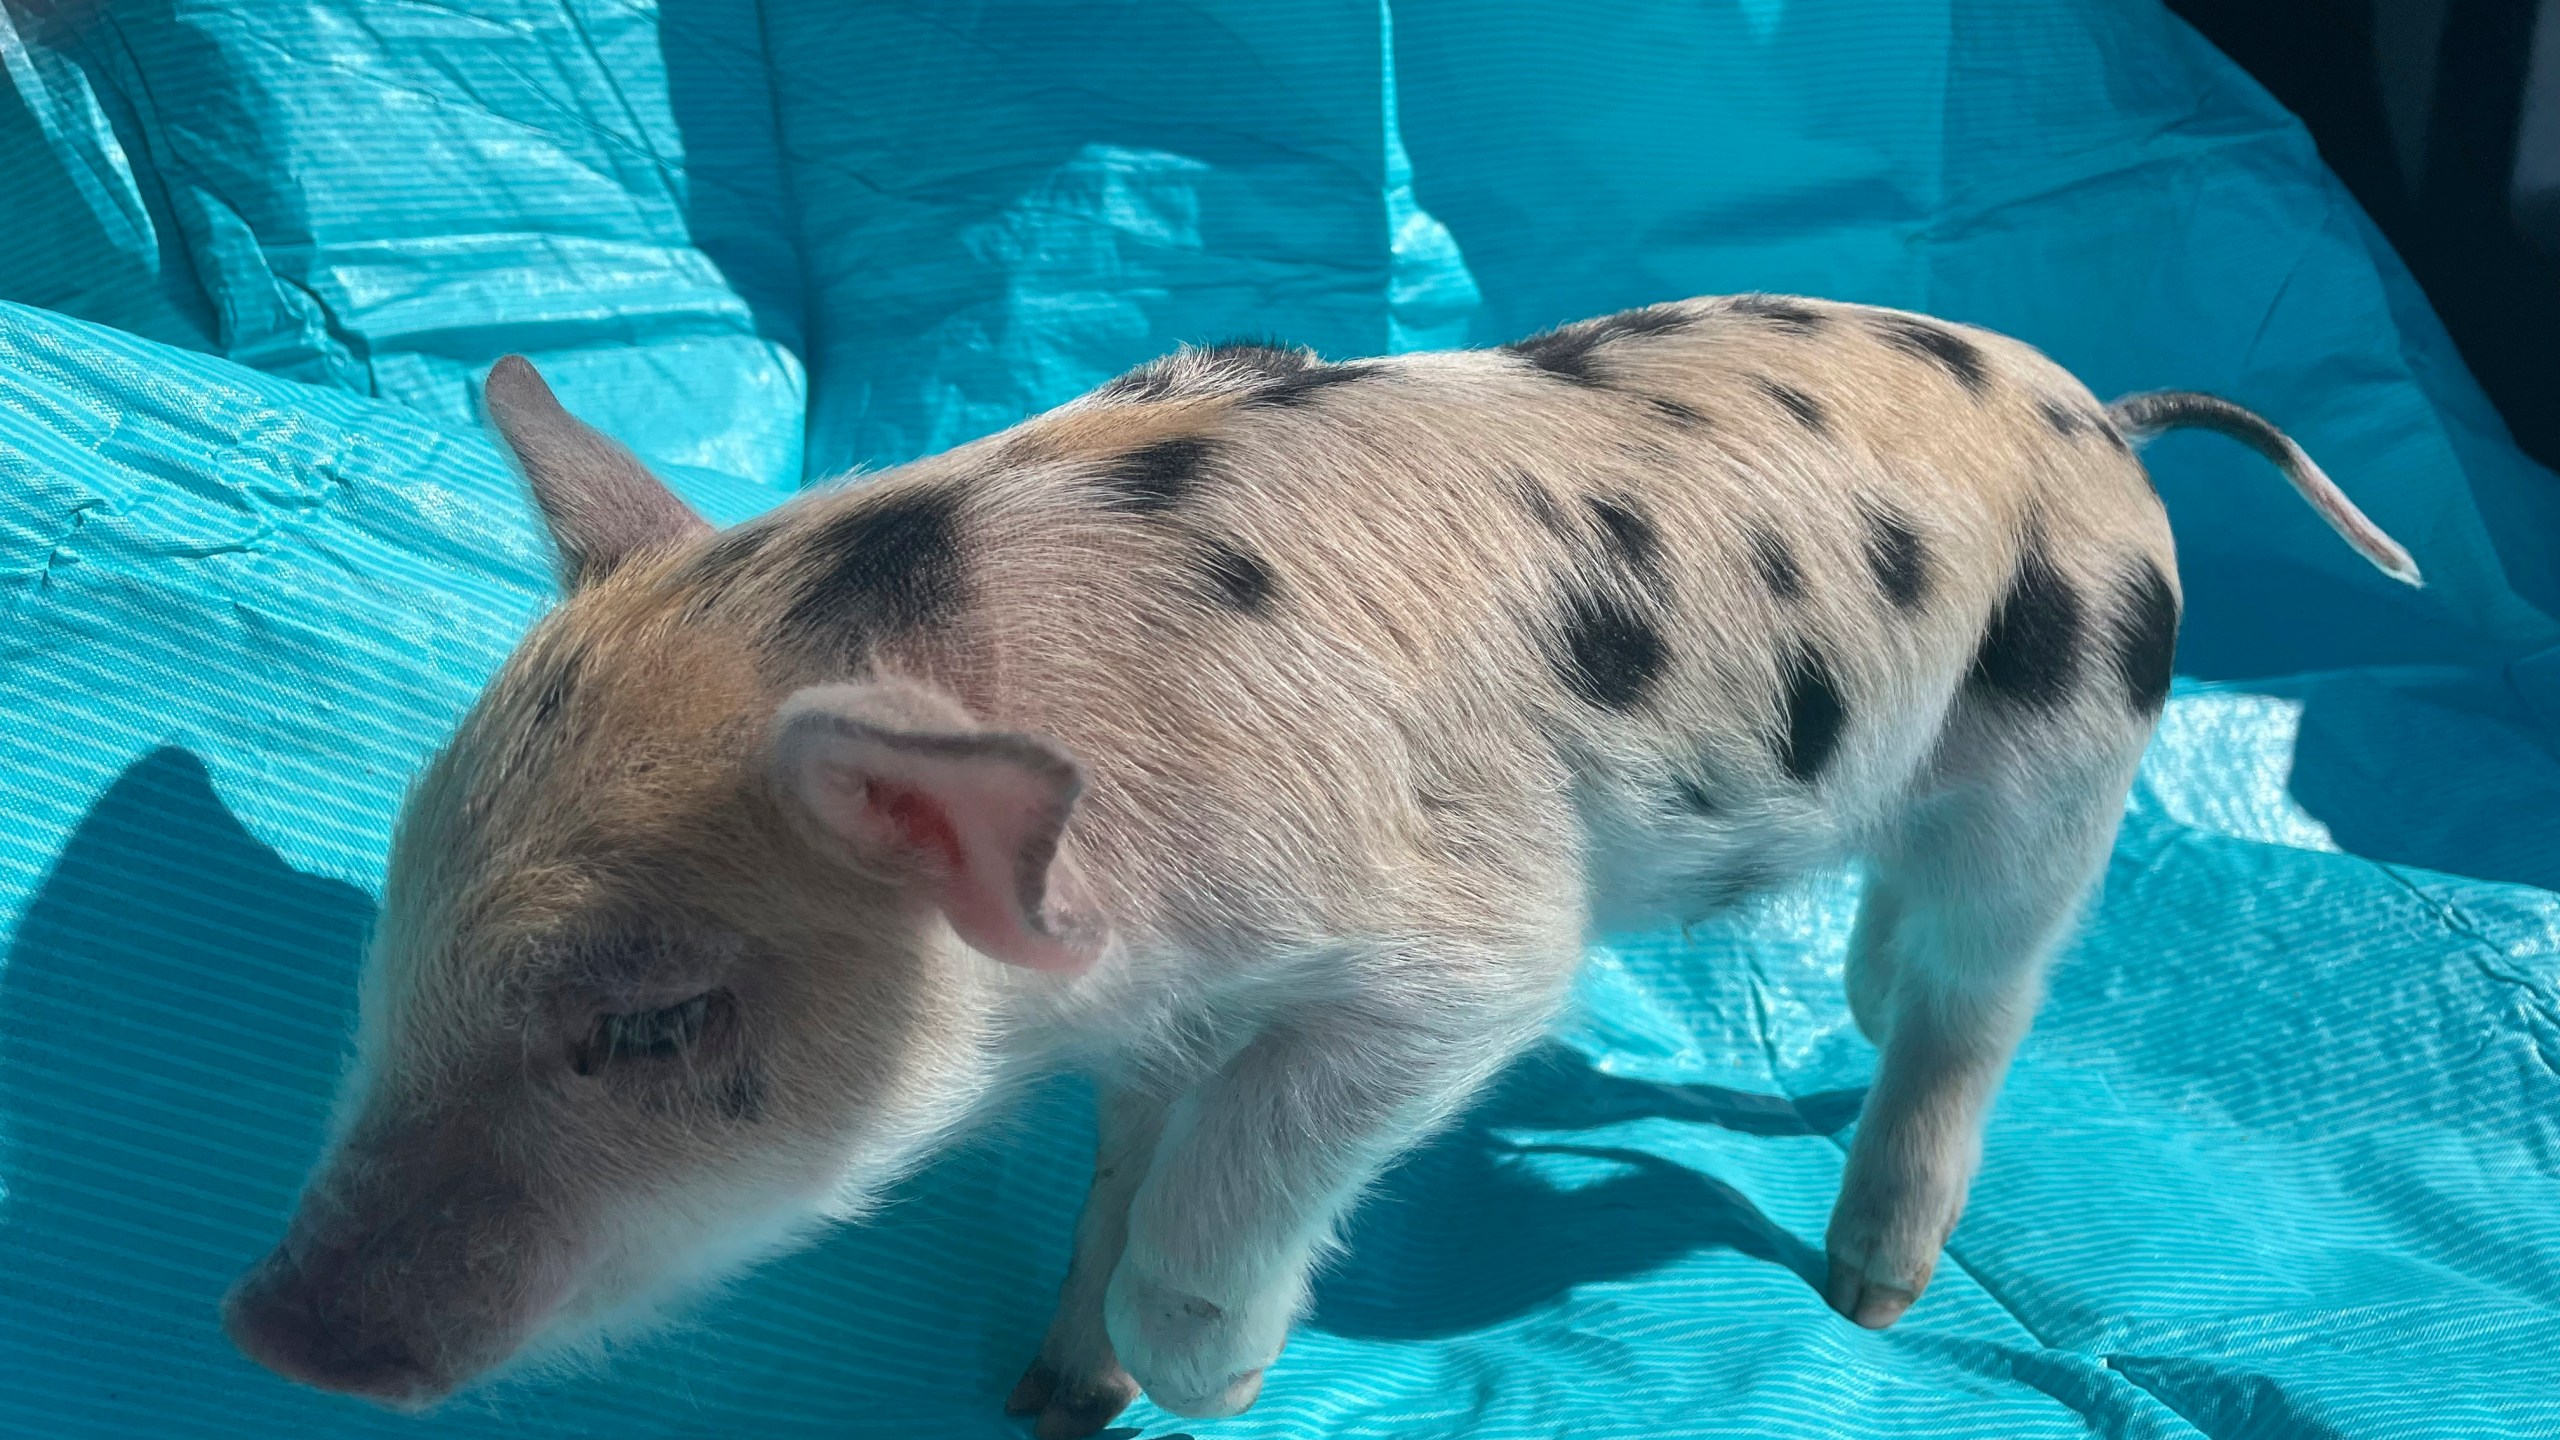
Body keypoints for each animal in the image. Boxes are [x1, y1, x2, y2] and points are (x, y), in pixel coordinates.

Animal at [222, 294, 2419, 1437]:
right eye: (393, 949)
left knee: (1979, 1008)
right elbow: (1126, 1167)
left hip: (2062, 764)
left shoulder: (1469, 947)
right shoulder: (1165, 1010)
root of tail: (2104, 414)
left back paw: (1871, 1303)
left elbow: (1266, 1156)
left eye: (661, 1022)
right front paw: (1052, 1398)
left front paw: (1207, 1378)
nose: (260, 1324)